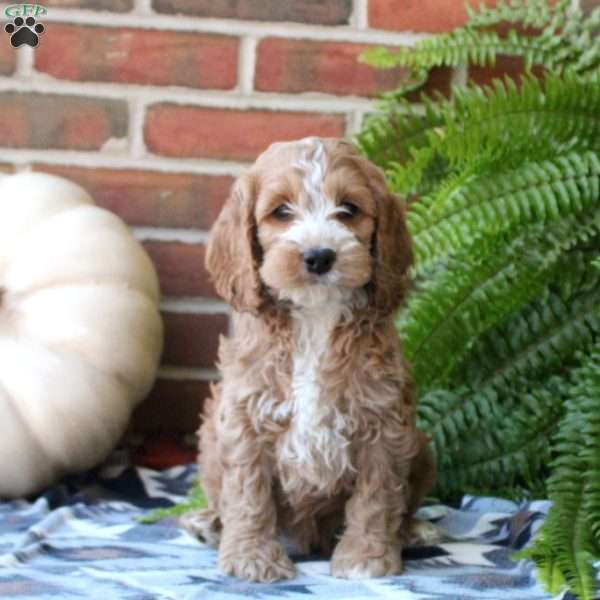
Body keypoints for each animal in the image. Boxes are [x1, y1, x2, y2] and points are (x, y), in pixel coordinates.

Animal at [183, 135, 436, 580]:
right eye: (281, 212)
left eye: (348, 209)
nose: (319, 256)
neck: (315, 317)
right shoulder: (246, 416)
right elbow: (248, 492)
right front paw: (252, 558)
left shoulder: (383, 421)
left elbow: (377, 495)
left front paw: (366, 559)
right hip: (210, 437)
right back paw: (209, 524)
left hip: (420, 445)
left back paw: (412, 531)